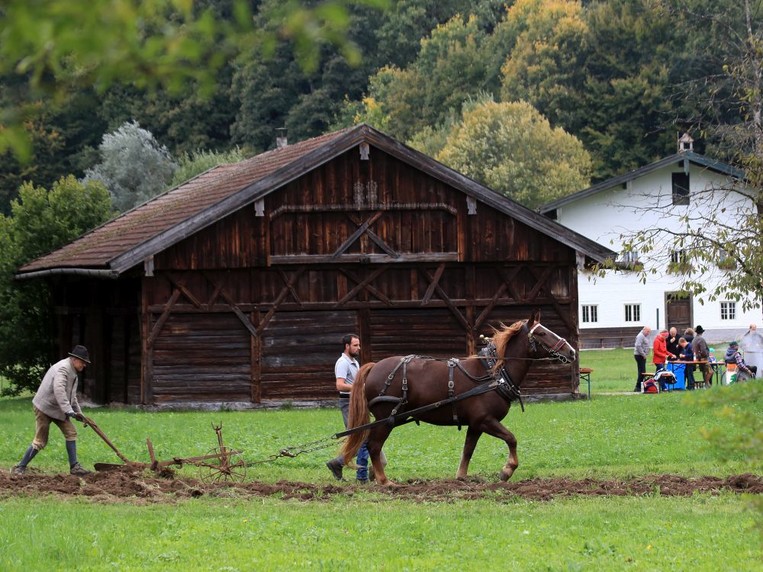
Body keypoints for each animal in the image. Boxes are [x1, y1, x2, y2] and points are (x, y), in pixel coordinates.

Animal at [344, 310, 576, 484]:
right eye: (542, 334)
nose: (572, 351)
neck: (493, 372)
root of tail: (374, 367)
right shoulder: (485, 420)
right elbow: (511, 438)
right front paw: (507, 470)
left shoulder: (475, 424)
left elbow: (468, 450)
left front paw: (462, 477)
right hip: (386, 418)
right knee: (373, 446)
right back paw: (385, 481)